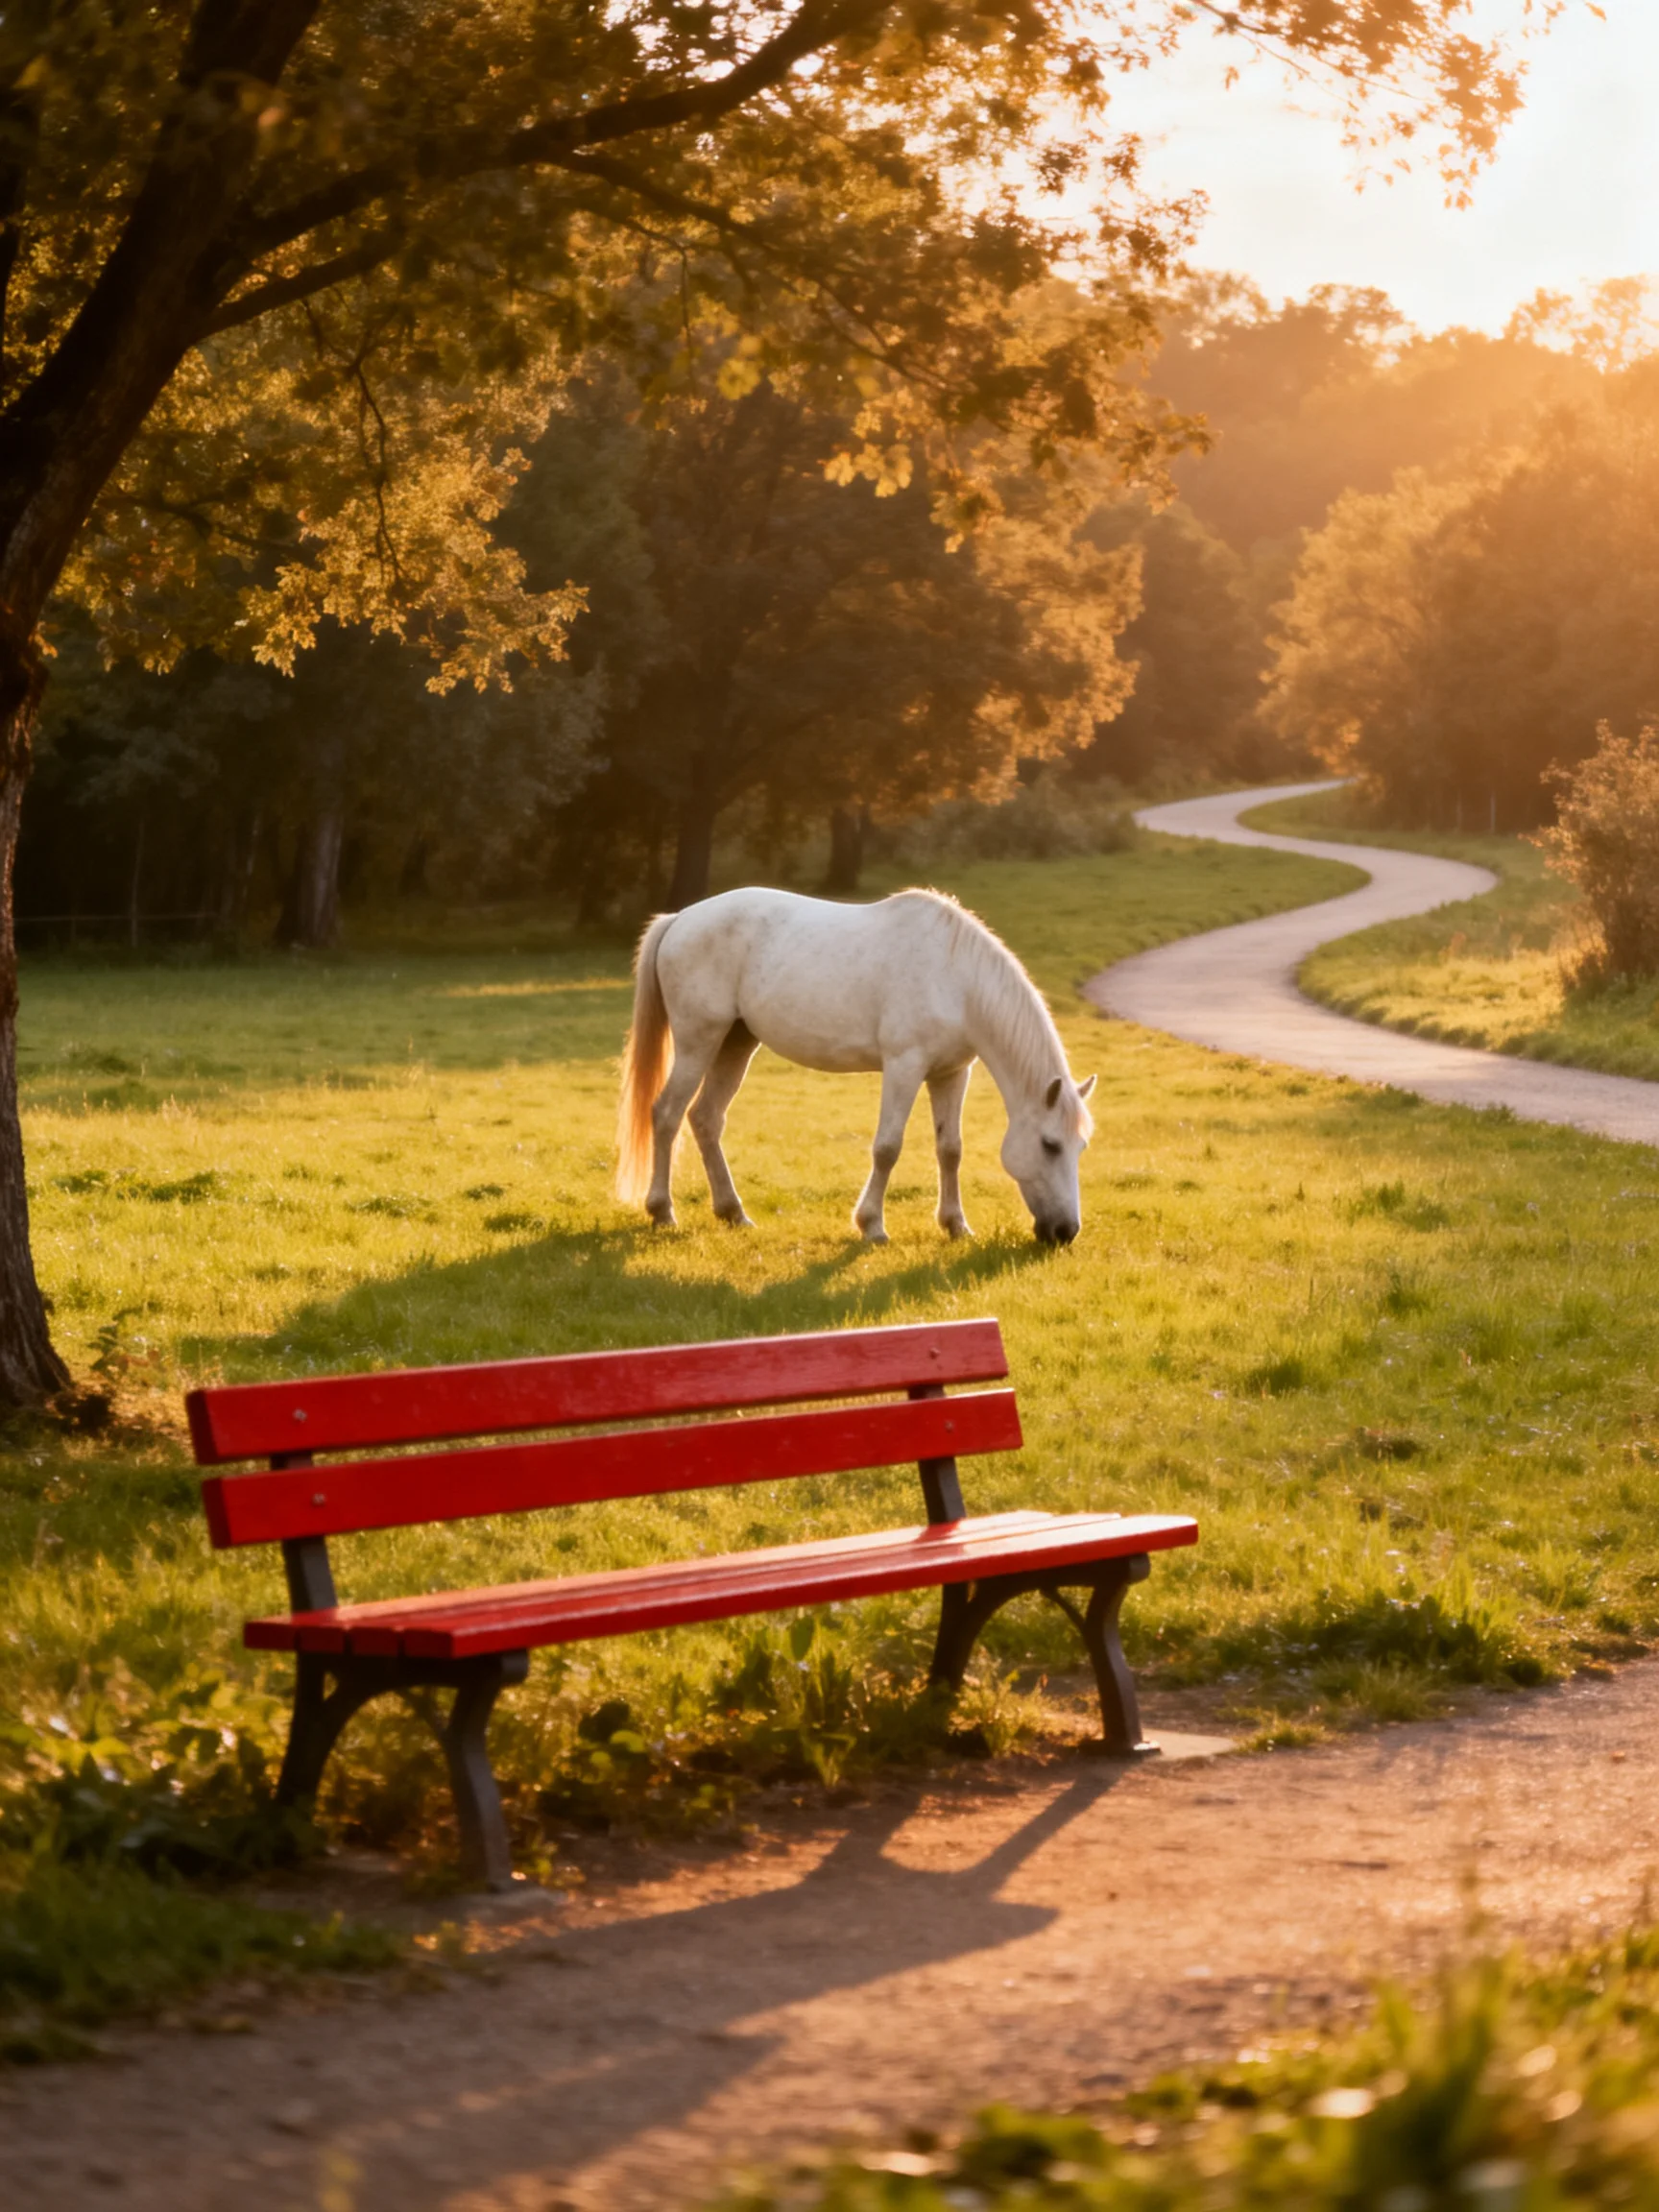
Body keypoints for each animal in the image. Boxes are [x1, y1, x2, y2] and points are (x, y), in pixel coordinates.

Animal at [615, 887, 1096, 1244]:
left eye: (1082, 1147)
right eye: (1050, 1145)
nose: (1065, 1232)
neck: (956, 979)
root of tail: (680, 918)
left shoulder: (951, 1073)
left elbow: (950, 1149)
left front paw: (956, 1225)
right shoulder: (904, 1066)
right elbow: (887, 1147)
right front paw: (872, 1226)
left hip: (736, 1043)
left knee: (706, 1119)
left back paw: (733, 1213)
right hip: (699, 1042)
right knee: (667, 1113)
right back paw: (663, 1211)